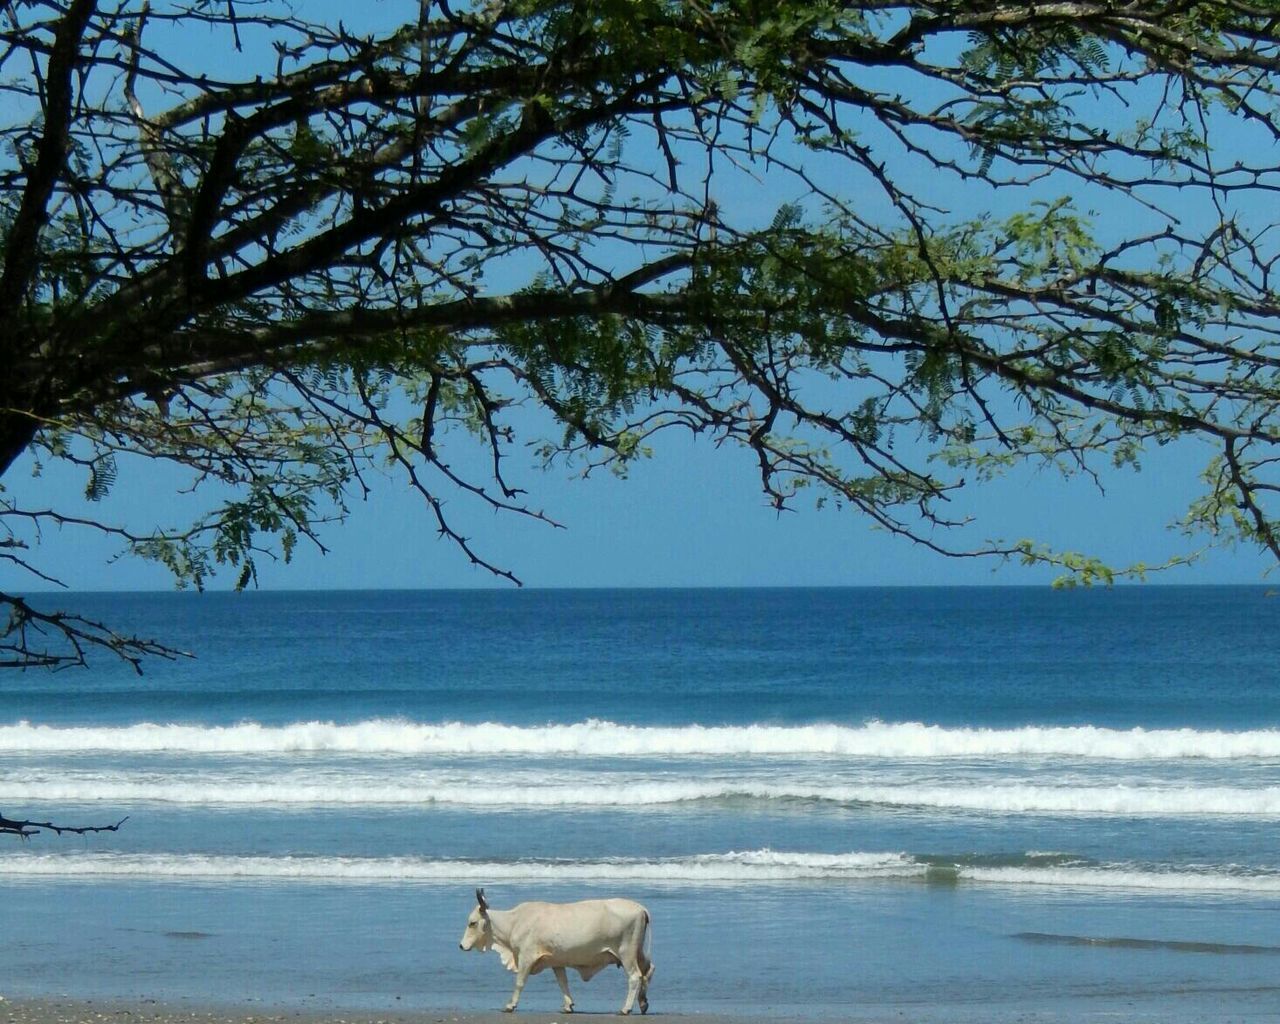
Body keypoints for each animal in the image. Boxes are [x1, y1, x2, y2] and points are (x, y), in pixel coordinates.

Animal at [460, 885, 655, 1013]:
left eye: (472, 923)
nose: (461, 946)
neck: (514, 922)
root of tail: (641, 908)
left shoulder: (526, 957)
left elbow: (519, 982)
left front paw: (510, 1005)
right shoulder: (556, 961)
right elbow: (563, 982)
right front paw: (568, 1005)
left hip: (626, 952)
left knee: (635, 976)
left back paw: (625, 1009)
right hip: (637, 952)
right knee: (648, 970)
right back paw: (643, 1003)